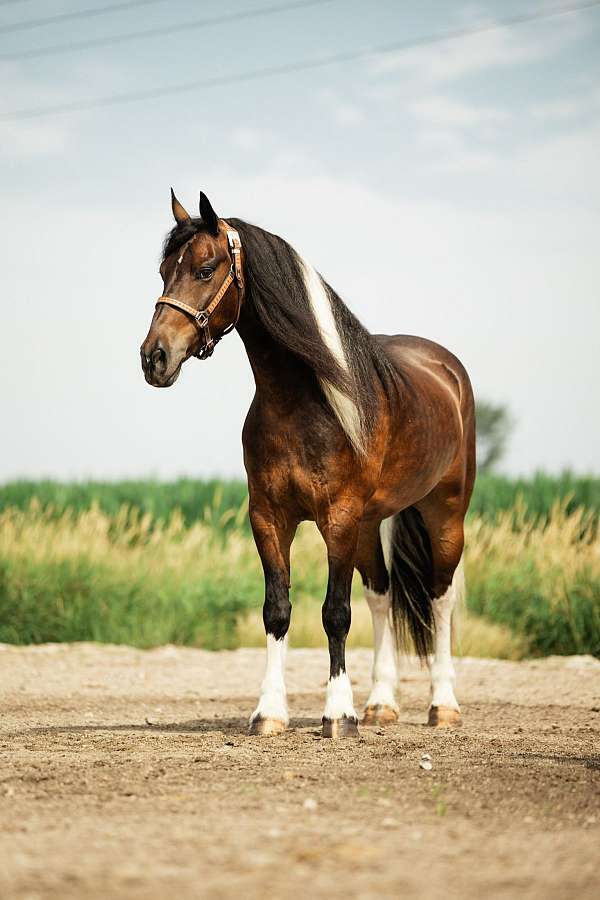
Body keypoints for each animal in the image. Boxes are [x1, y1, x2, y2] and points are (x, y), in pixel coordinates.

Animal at [141, 189, 476, 738]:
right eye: (165, 271)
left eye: (206, 269)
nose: (154, 358)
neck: (303, 403)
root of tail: (446, 370)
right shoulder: (269, 518)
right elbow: (277, 610)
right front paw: (268, 712)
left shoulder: (337, 519)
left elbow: (334, 613)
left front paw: (338, 714)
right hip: (370, 524)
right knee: (382, 596)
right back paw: (381, 704)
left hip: (444, 514)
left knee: (439, 597)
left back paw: (442, 706)